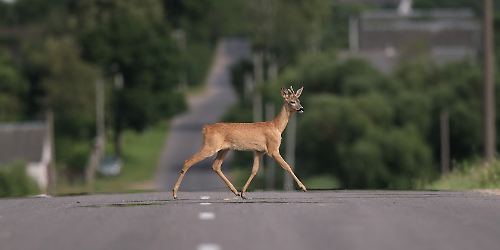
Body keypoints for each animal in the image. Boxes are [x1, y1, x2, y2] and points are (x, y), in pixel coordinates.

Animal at [171, 86, 304, 199]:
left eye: (299, 100)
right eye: (292, 101)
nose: (301, 108)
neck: (276, 126)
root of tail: (206, 128)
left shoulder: (258, 151)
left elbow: (254, 170)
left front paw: (243, 193)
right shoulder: (272, 149)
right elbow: (287, 166)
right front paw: (303, 187)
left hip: (224, 149)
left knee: (216, 166)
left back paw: (235, 191)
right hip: (210, 146)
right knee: (188, 161)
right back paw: (174, 193)